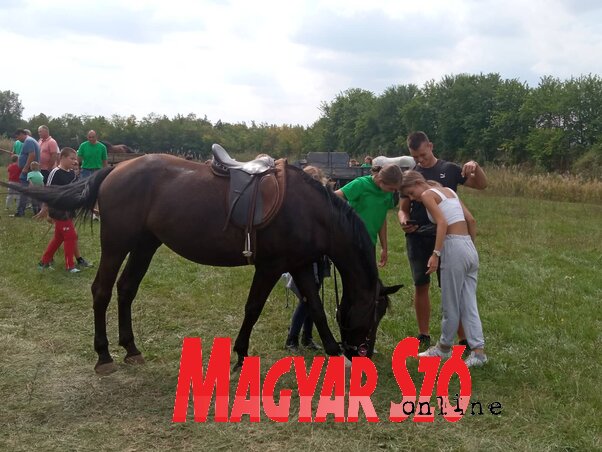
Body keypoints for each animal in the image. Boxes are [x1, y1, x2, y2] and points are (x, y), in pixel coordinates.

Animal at [4, 152, 400, 374]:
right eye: (374, 312)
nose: (364, 354)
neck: (311, 210)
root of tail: (114, 170)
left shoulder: (300, 265)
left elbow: (315, 308)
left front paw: (335, 355)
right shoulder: (271, 266)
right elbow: (253, 308)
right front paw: (239, 356)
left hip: (145, 245)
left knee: (126, 289)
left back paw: (131, 349)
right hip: (117, 243)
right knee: (102, 289)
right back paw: (104, 356)